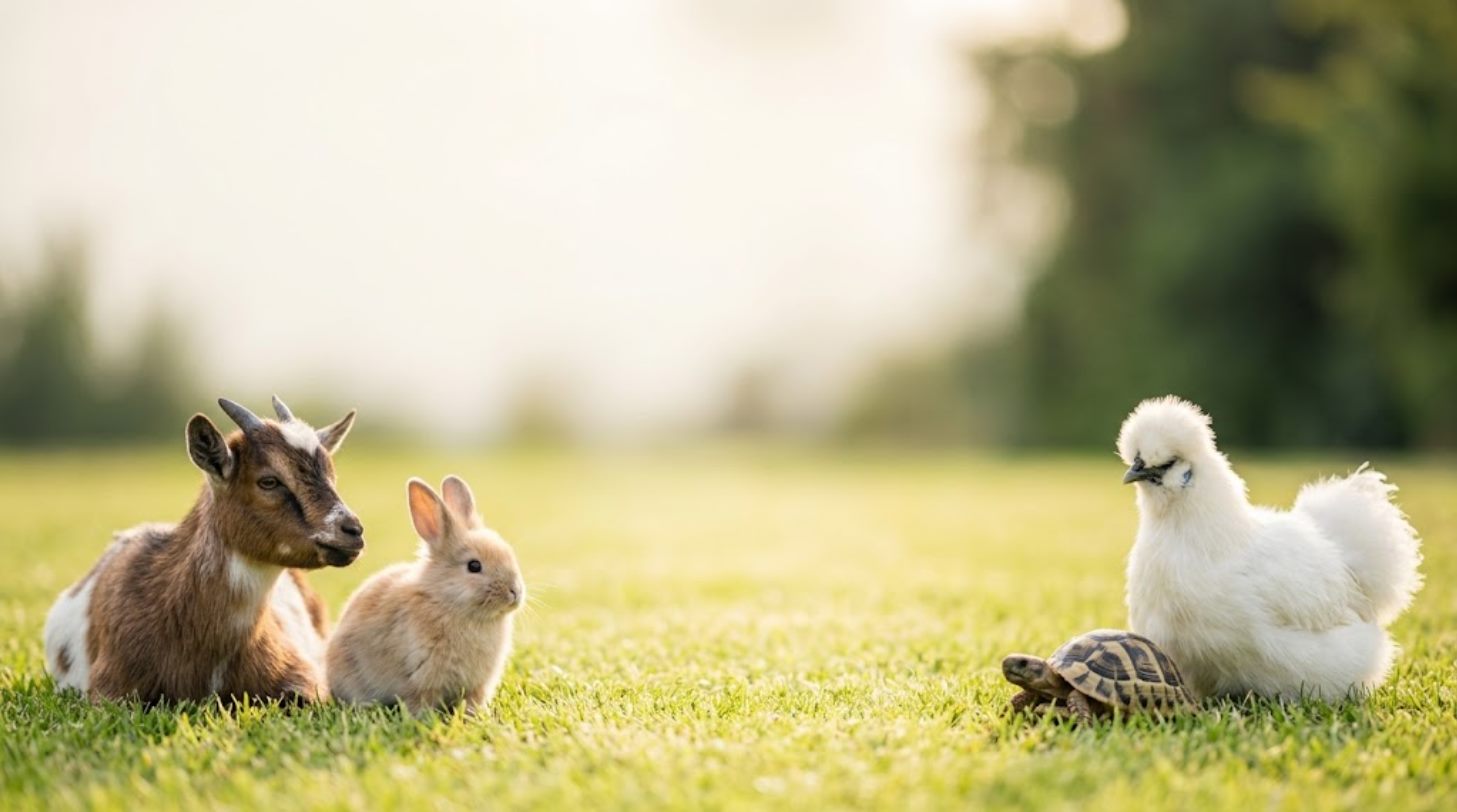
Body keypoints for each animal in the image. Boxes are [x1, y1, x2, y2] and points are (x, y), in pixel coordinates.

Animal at [326, 475, 525, 715]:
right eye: (474, 566)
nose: (515, 592)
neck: (446, 601)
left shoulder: (477, 685)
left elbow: (472, 702)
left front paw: (473, 716)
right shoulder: (422, 682)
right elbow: (421, 703)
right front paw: (424, 718)